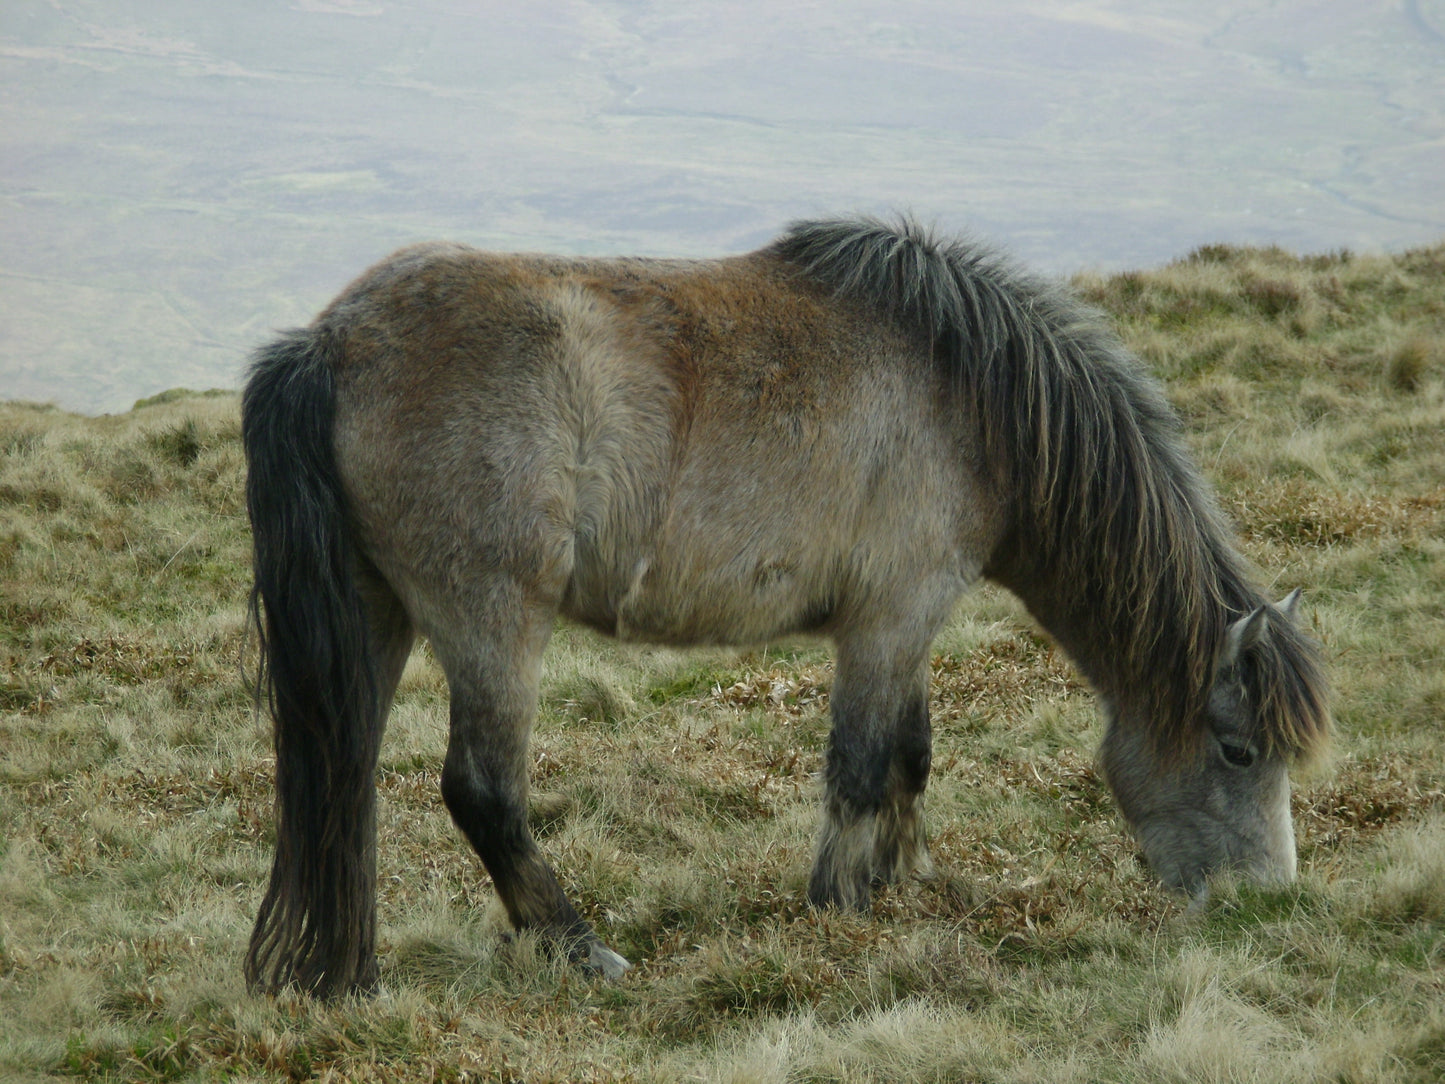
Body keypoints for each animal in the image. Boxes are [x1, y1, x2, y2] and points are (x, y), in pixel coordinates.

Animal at [240, 215, 1330, 997]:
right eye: (1237, 750)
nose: (1266, 904)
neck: (972, 401)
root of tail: (330, 342)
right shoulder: (890, 617)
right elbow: (861, 764)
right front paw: (838, 906)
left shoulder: (903, 625)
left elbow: (909, 752)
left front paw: (902, 877)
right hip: (493, 622)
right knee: (481, 791)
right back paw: (581, 947)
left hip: (378, 616)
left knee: (344, 781)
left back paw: (350, 973)